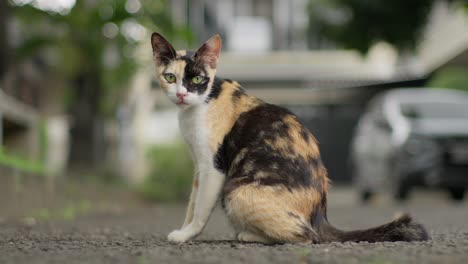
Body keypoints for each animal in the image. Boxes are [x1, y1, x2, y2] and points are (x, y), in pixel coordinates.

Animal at [152, 32, 430, 243]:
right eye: (170, 77)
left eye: (198, 78)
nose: (181, 94)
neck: (199, 106)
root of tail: (320, 217)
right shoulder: (198, 167)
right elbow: (191, 204)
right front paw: (183, 229)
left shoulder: (212, 167)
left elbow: (200, 208)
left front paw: (186, 235)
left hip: (234, 190)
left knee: (306, 237)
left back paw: (249, 235)